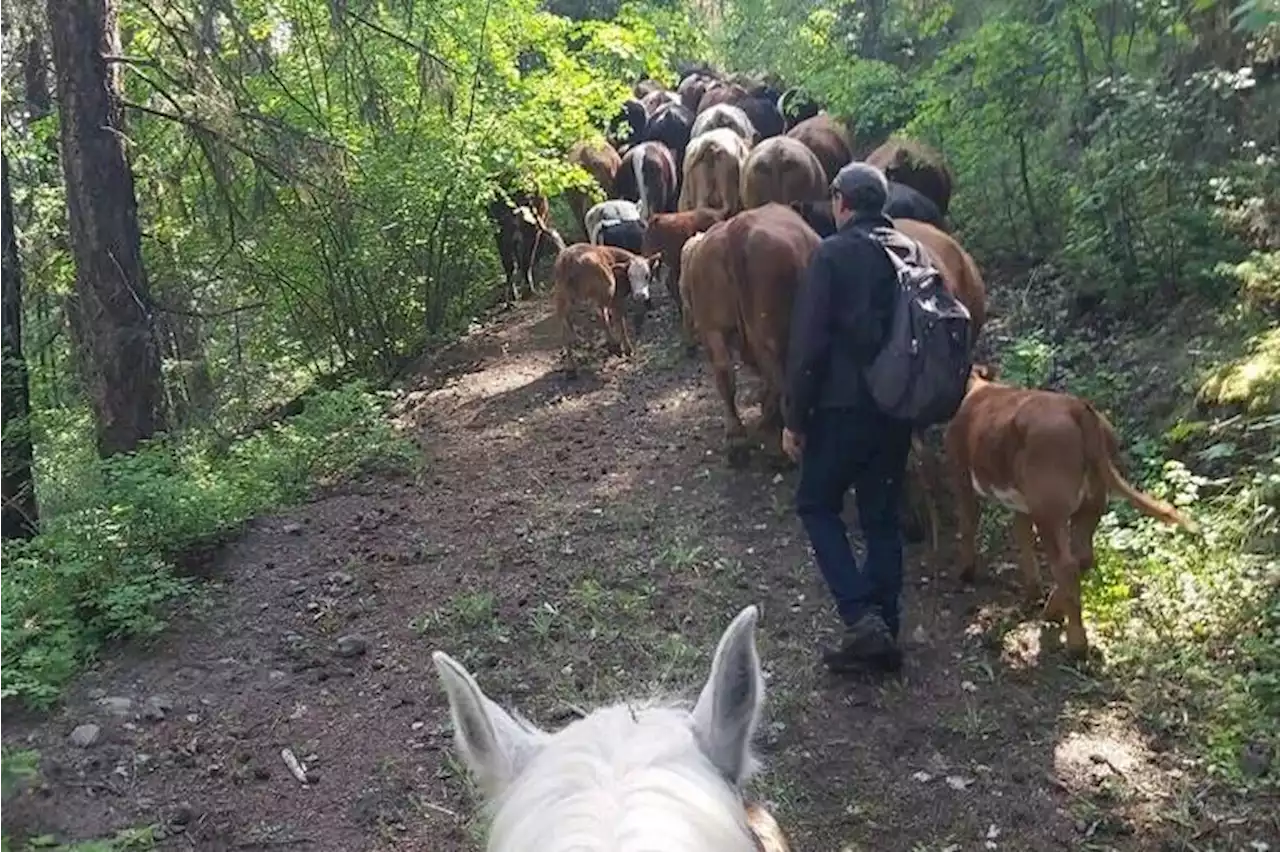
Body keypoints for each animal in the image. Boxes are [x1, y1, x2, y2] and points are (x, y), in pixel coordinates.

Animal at [552, 245, 660, 378]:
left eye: (647, 275)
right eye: (630, 275)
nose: (640, 295)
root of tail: (569, 258)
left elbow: (605, 317)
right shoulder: (616, 298)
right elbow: (618, 321)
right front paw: (626, 349)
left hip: (562, 299)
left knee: (566, 330)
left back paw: (571, 367)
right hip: (602, 293)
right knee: (597, 318)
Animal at [942, 368, 1198, 652]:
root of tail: (1077, 407)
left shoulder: (962, 478)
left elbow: (968, 525)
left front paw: (966, 572)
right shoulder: (1022, 506)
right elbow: (1024, 542)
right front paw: (1032, 592)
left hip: (1050, 510)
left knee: (1066, 565)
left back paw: (1075, 642)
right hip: (1089, 504)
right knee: (1082, 557)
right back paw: (1053, 611)